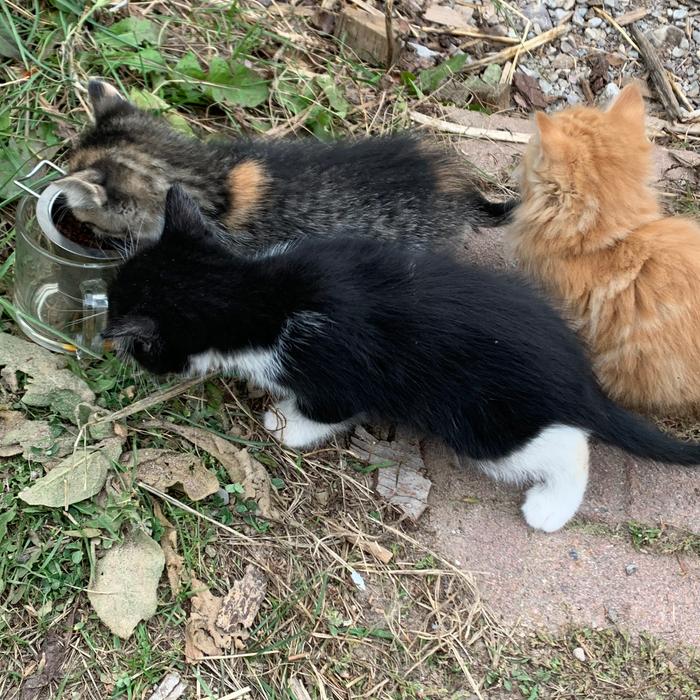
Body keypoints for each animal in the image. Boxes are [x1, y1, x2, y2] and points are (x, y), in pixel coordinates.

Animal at [105, 186, 700, 532]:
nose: (103, 326)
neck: (260, 294)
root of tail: (581, 382)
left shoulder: (333, 374)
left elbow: (326, 414)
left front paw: (283, 424)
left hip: (488, 425)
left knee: (569, 448)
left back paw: (550, 507)